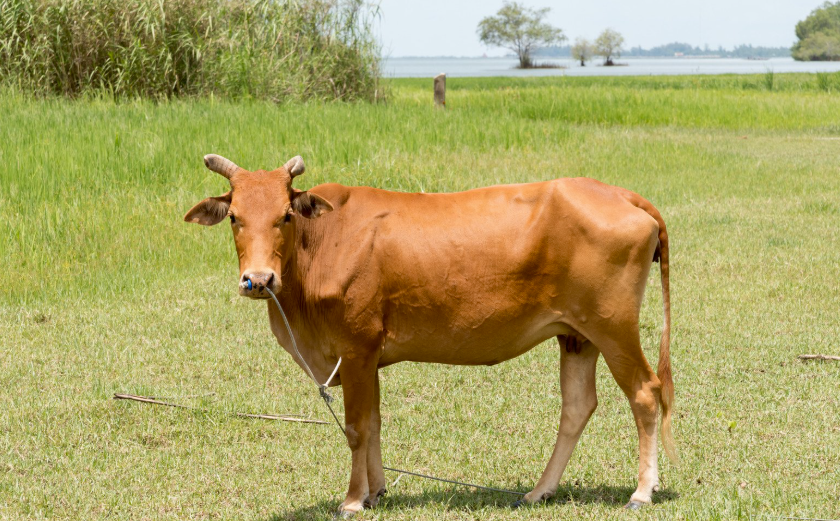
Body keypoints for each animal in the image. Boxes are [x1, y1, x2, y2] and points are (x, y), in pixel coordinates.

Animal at [184, 154, 675, 516]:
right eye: (234, 217)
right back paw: (539, 491)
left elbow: (357, 427)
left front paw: (352, 500)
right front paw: (376, 492)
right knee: (577, 407)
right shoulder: (368, 356)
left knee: (645, 393)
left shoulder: (356, 348)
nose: (259, 279)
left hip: (613, 328)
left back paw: (641, 491)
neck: (321, 243)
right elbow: (374, 422)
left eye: (285, 215)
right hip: (576, 335)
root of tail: (619, 193)